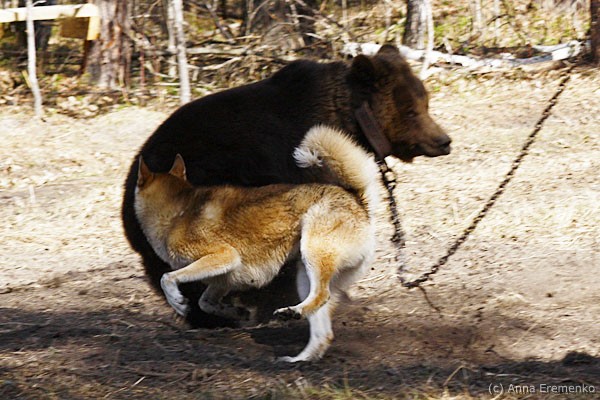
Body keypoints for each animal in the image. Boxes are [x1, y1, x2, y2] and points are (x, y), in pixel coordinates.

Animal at [134, 125, 381, 362]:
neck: (179, 211)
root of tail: (358, 201)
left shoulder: (224, 256)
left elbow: (167, 278)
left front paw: (178, 302)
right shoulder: (223, 277)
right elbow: (205, 302)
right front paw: (237, 313)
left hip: (313, 256)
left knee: (322, 296)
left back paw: (293, 315)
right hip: (304, 275)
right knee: (322, 330)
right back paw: (299, 358)